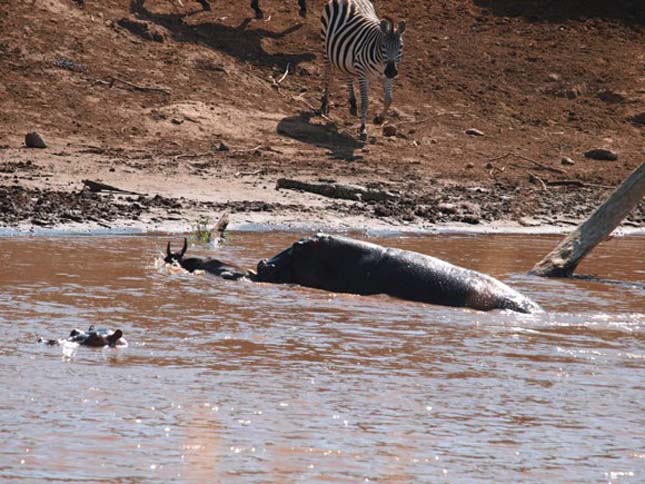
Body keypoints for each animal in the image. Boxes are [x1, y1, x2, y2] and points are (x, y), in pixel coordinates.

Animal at [320, 0, 406, 140]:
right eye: (383, 46)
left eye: (401, 46)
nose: (391, 71)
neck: (381, 63)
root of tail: (348, 0)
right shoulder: (362, 74)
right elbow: (365, 102)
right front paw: (363, 129)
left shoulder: (386, 76)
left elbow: (389, 99)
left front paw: (379, 119)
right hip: (325, 46)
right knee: (328, 74)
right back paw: (324, 104)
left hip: (346, 55)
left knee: (347, 72)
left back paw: (353, 102)